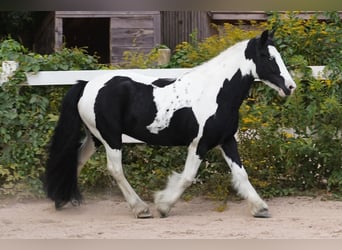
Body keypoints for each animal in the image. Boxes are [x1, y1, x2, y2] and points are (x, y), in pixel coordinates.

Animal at [46, 30, 296, 219]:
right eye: (268, 57)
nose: (290, 87)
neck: (216, 92)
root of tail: (85, 85)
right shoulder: (199, 144)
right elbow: (187, 177)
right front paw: (163, 205)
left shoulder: (226, 140)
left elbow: (241, 174)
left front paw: (260, 207)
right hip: (111, 138)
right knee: (115, 170)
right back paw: (141, 209)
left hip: (96, 137)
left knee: (76, 160)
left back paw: (63, 199)